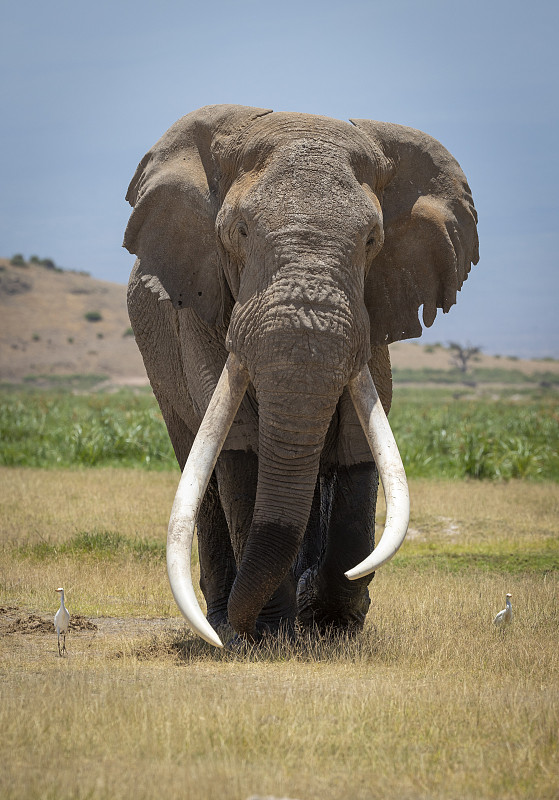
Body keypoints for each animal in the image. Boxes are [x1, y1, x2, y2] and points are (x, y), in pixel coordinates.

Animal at [124, 103, 480, 648]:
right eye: (240, 231)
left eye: (372, 240)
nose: (248, 629)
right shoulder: (202, 310)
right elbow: (241, 445)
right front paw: (266, 636)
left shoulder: (374, 313)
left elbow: (358, 442)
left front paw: (333, 624)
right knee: (200, 465)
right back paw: (222, 620)